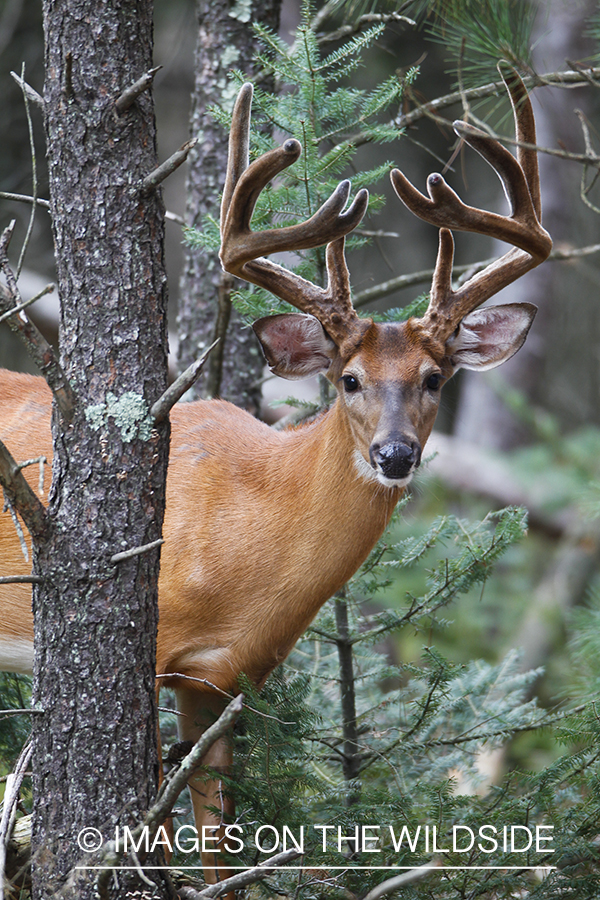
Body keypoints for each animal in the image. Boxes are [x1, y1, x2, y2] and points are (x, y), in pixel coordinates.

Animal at [0, 67, 551, 887]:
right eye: (349, 380)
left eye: (435, 379)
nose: (395, 455)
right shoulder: (154, 652)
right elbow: (154, 835)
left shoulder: (223, 682)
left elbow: (220, 855)